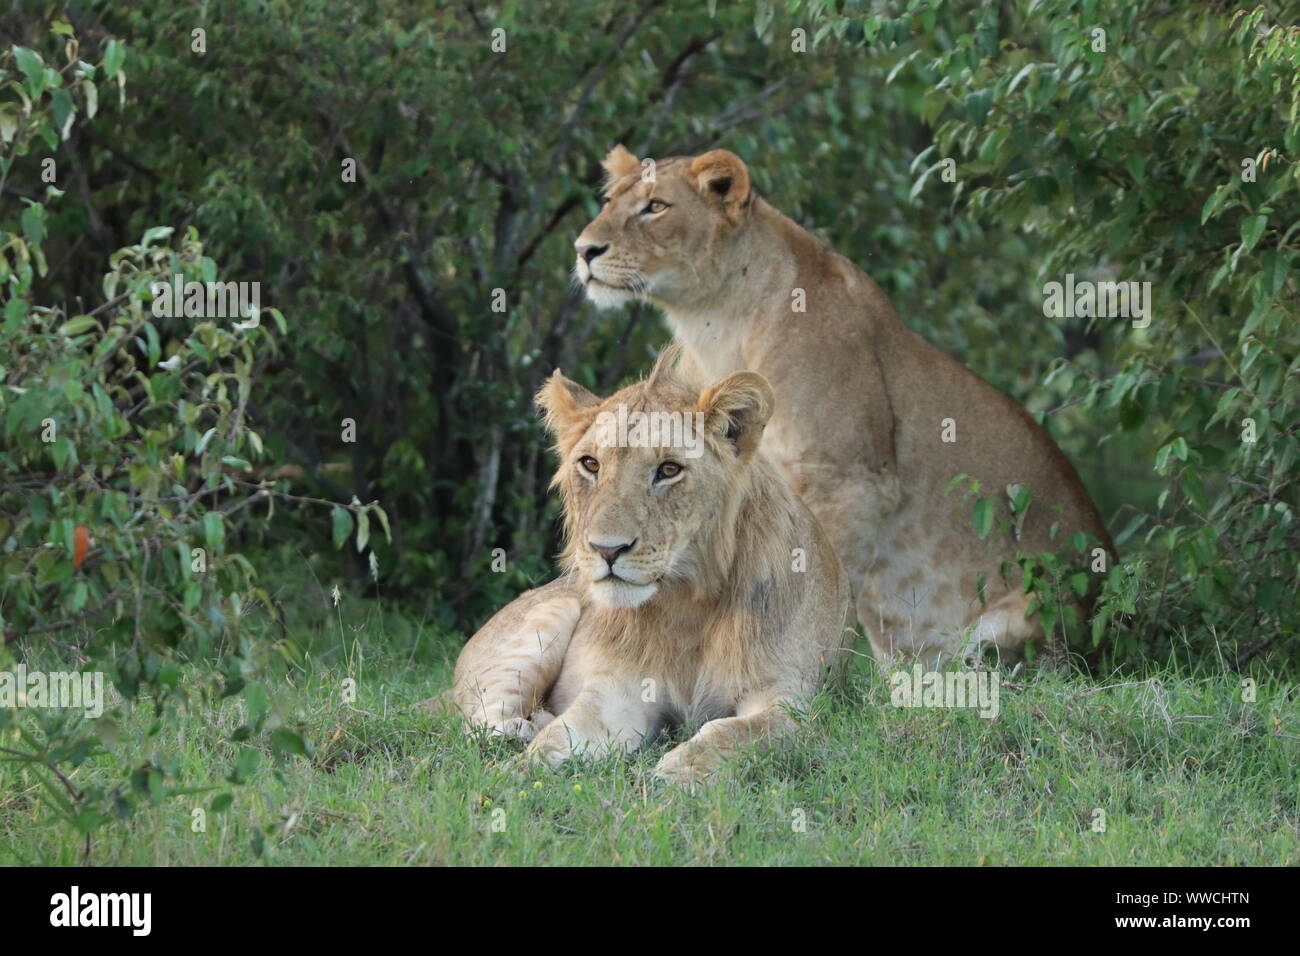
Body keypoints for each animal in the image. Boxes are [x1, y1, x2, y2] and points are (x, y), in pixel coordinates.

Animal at [443, 348, 851, 784]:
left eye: (669, 469)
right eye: (590, 464)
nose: (606, 550)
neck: (688, 604)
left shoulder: (787, 696)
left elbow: (738, 731)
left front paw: (681, 770)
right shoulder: (616, 693)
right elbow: (558, 737)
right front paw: (518, 773)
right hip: (547, 619)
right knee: (481, 716)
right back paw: (522, 728)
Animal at [573, 145, 1113, 663]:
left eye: (656, 207)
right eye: (608, 201)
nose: (583, 250)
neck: (713, 322)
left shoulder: (851, 482)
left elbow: (824, 580)